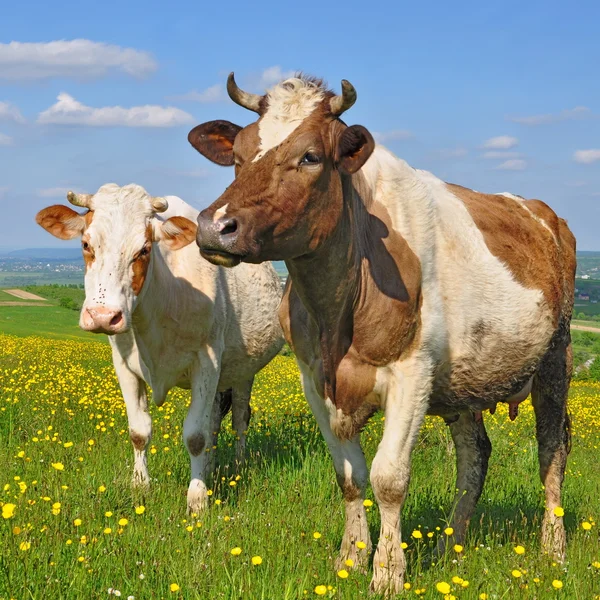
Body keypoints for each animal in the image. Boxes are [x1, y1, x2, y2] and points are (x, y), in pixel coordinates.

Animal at [35, 185, 284, 512]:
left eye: (143, 250)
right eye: (86, 244)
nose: (103, 316)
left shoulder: (207, 362)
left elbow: (195, 436)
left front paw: (197, 500)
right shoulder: (124, 365)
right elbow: (140, 432)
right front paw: (140, 486)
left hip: (244, 371)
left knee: (240, 419)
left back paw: (239, 466)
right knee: (215, 421)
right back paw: (211, 467)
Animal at [188, 76, 576, 596]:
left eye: (310, 156)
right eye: (240, 153)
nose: (215, 227)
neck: (338, 309)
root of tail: (541, 211)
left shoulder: (412, 372)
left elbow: (389, 477)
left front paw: (388, 573)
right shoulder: (314, 378)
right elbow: (349, 475)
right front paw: (351, 557)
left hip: (556, 356)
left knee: (551, 450)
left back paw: (553, 550)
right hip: (465, 385)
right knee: (475, 457)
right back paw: (448, 547)